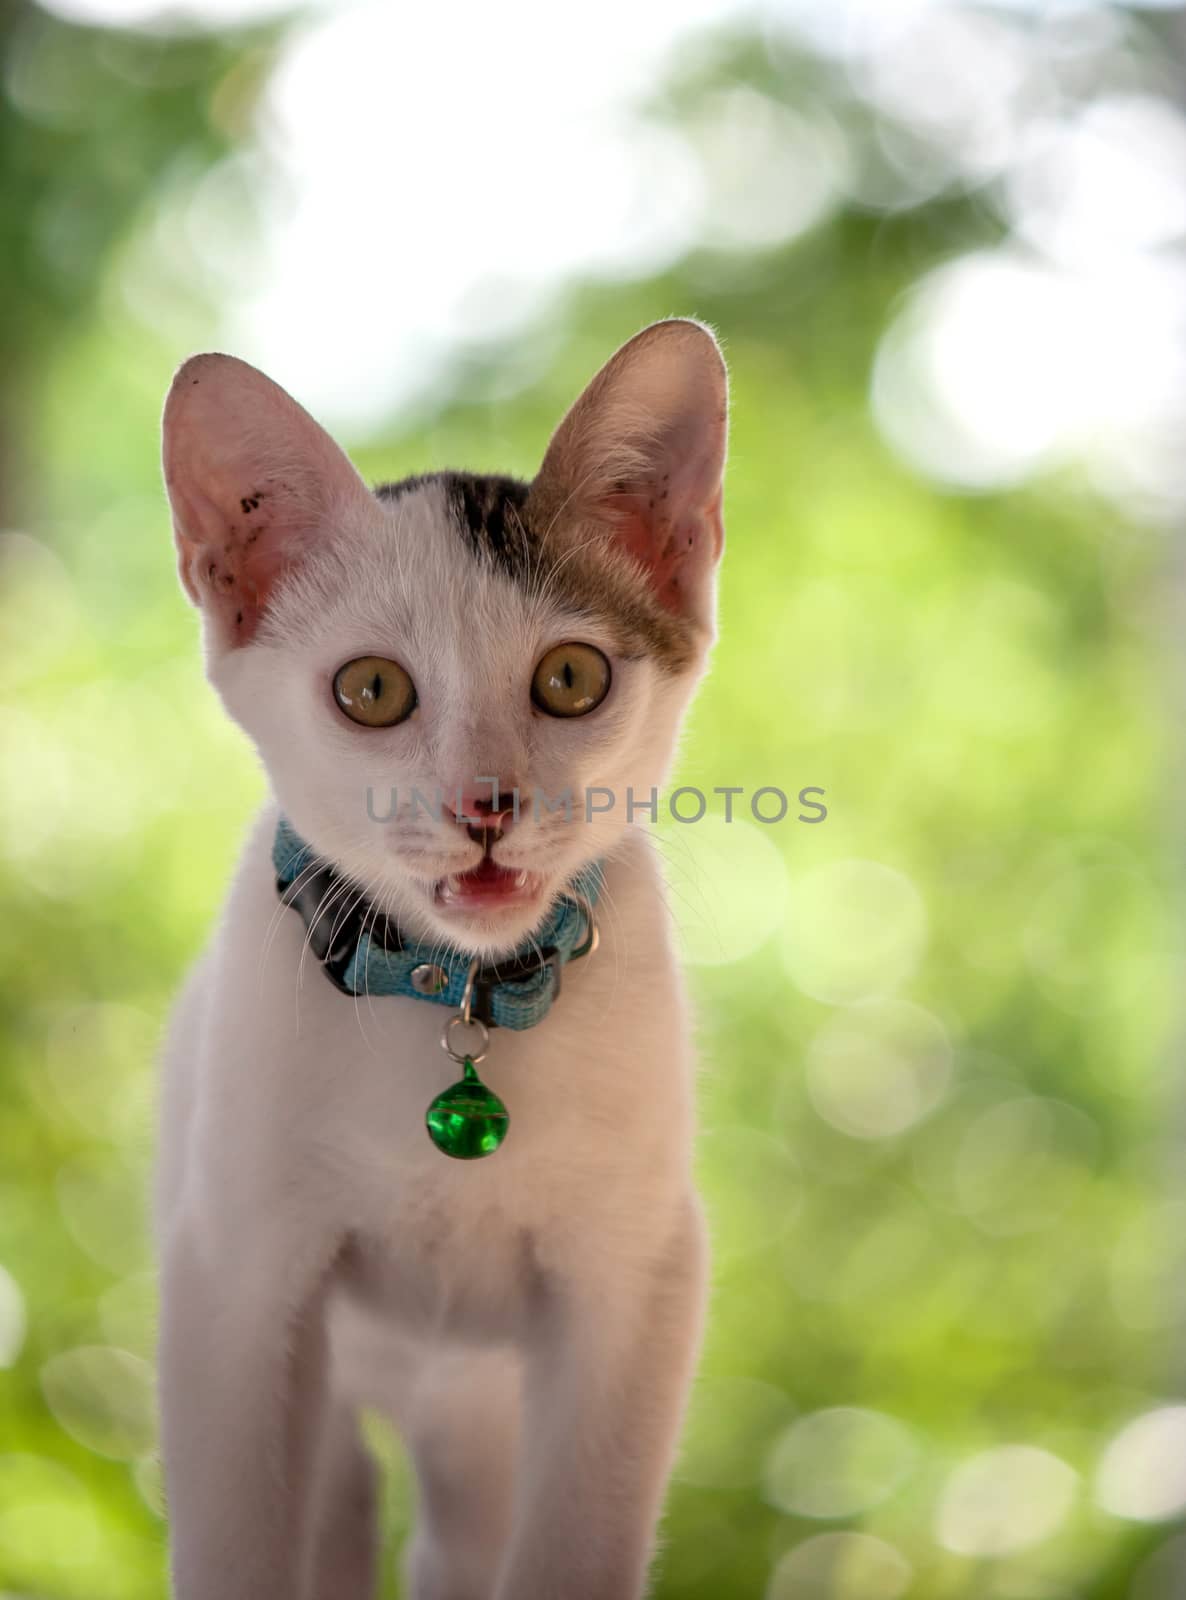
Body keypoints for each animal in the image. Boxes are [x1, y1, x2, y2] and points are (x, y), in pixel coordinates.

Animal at [155, 318, 729, 1593]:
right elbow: (236, 1543)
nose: (485, 803)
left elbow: (577, 1542)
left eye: (570, 678)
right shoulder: (235, 1274)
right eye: (372, 691)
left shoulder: (637, 1279)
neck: (454, 994)